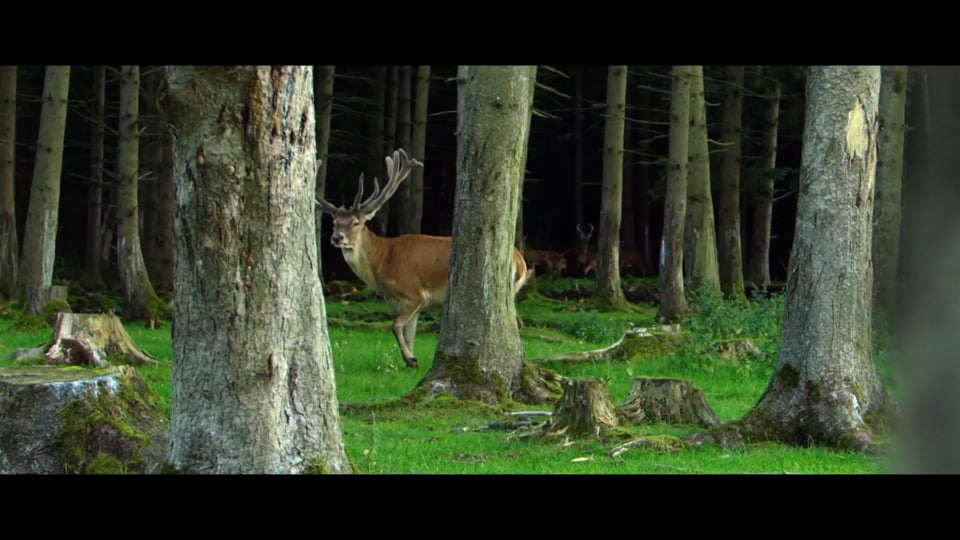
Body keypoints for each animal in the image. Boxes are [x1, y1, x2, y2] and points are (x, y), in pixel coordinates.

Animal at [316, 150, 532, 370]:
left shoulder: (414, 294)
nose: (337, 238)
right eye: (334, 223)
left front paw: (410, 360)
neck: (382, 262)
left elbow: (396, 326)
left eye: (355, 222)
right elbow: (409, 334)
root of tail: (520, 262)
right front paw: (411, 361)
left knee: (516, 322)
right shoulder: (407, 303)